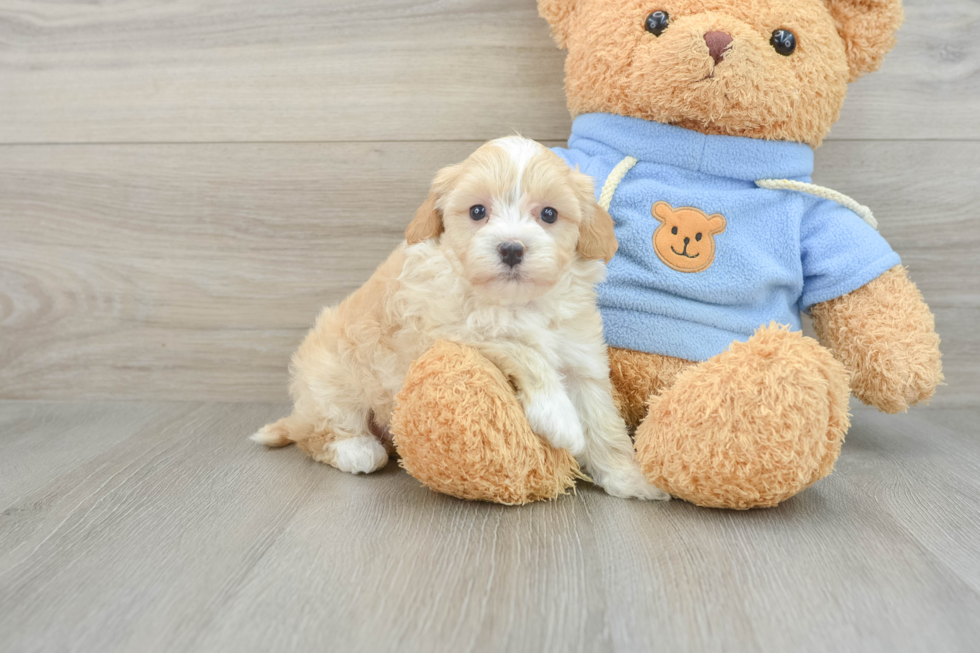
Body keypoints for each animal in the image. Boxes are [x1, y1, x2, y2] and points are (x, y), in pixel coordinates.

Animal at [253, 134, 668, 500]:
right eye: (477, 211)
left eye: (549, 214)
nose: (511, 249)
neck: (516, 303)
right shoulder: (453, 331)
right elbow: (524, 351)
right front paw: (559, 418)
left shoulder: (580, 358)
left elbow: (603, 423)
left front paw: (629, 478)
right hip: (330, 383)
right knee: (318, 433)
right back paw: (357, 450)